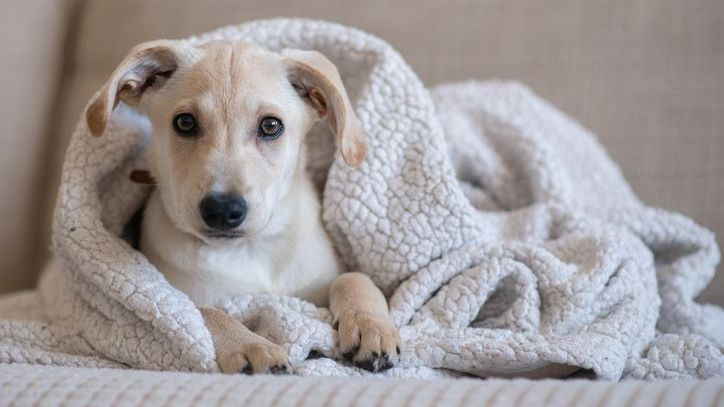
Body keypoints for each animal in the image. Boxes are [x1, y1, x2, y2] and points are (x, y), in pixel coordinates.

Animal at [86, 39, 402, 374]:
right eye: (184, 122)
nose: (222, 210)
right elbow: (204, 312)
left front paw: (370, 326)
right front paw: (251, 346)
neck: (250, 251)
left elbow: (353, 277)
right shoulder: (175, 295)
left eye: (271, 125)